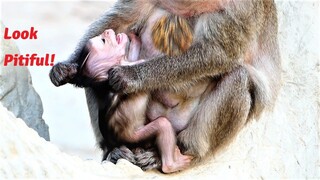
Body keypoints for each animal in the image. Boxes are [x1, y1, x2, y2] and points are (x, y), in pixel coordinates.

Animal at [83, 28, 192, 172]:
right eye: (103, 41)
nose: (106, 32)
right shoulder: (128, 66)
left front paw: (132, 36)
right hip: (135, 137)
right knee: (162, 124)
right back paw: (171, 164)